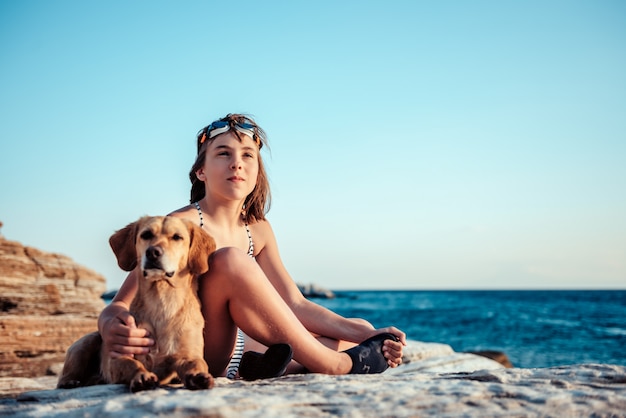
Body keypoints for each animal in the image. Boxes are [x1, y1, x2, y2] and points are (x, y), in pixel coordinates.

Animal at [56, 216, 217, 392]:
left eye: (177, 237)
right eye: (146, 234)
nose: (153, 252)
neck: (161, 300)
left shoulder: (187, 355)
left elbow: (197, 363)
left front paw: (198, 376)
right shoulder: (119, 356)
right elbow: (133, 364)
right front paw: (142, 377)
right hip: (86, 342)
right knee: (65, 375)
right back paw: (70, 382)